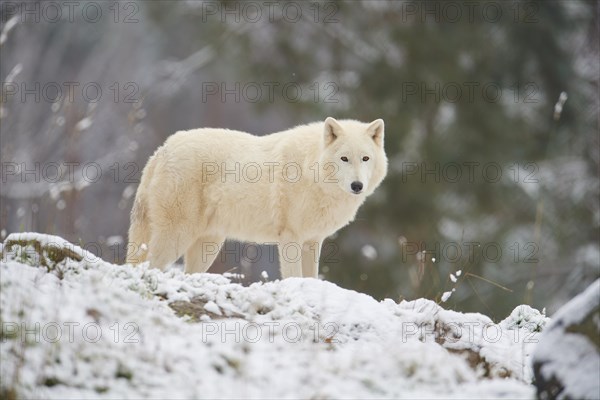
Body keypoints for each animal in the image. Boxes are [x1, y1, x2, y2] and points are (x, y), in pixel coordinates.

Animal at [127, 116, 390, 278]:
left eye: (365, 158)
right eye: (344, 158)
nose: (357, 185)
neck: (311, 171)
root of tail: (162, 149)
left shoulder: (313, 241)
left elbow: (311, 278)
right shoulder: (290, 238)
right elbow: (294, 277)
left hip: (208, 245)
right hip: (177, 236)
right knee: (148, 266)